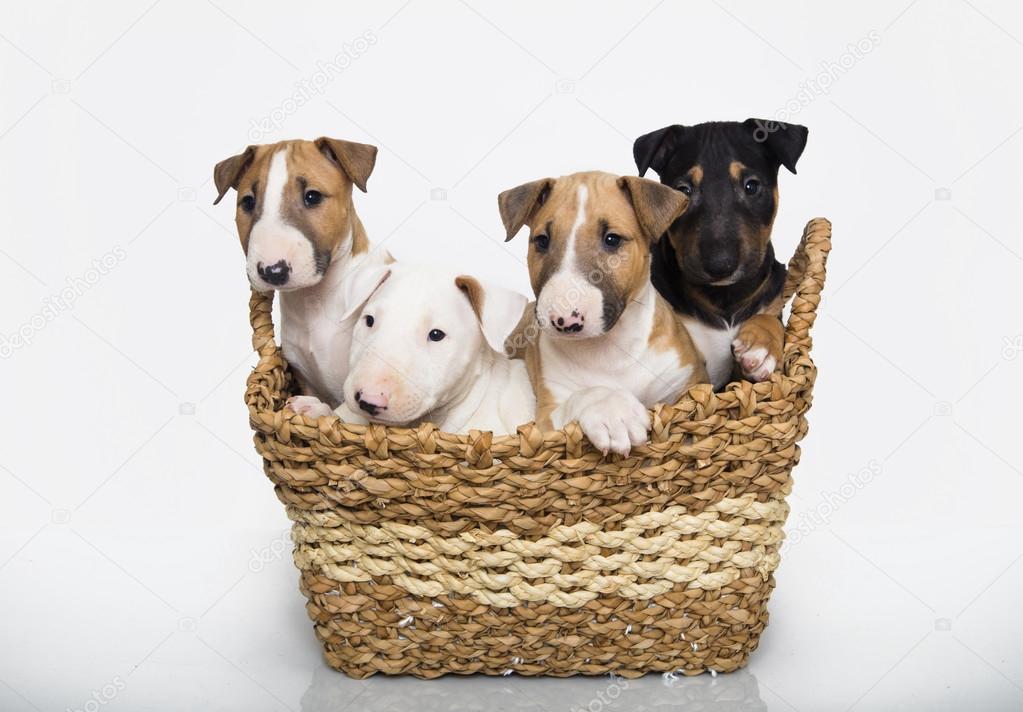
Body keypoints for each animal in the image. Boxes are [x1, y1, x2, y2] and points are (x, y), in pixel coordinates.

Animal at [497, 169, 707, 454]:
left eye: (612, 239)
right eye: (541, 241)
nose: (564, 321)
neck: (609, 349)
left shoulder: (690, 383)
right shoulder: (545, 418)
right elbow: (584, 396)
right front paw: (613, 410)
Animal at [630, 121, 806, 388]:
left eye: (751, 186)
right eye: (684, 190)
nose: (720, 266)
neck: (725, 297)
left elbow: (770, 321)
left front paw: (762, 347)